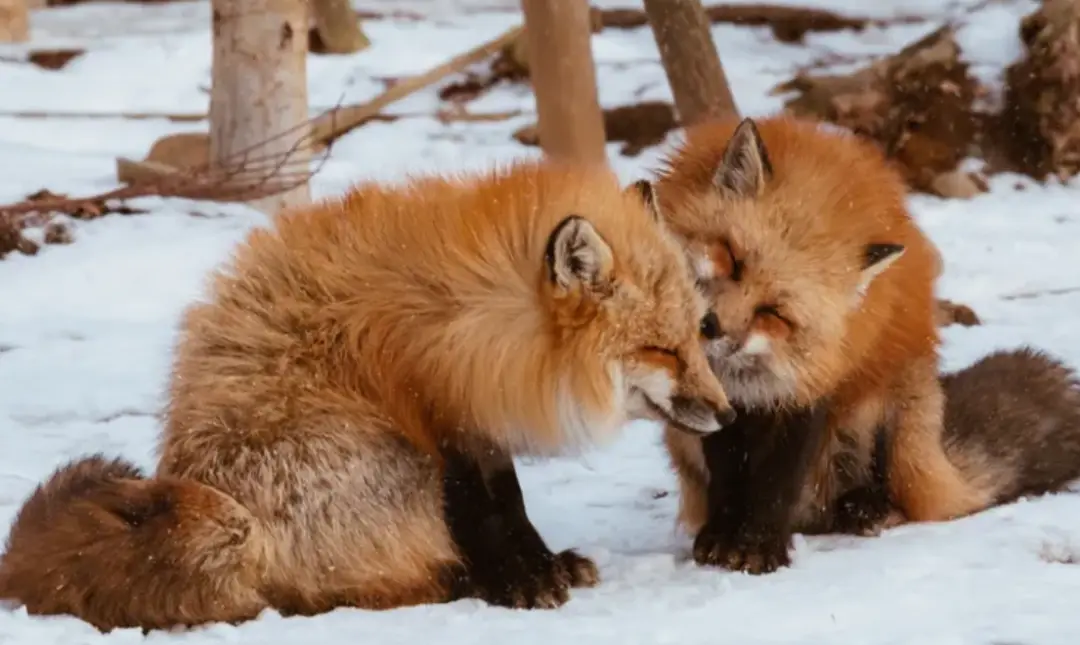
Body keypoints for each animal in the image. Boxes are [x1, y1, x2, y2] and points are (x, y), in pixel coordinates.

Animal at [0, 158, 734, 630]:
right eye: (661, 351)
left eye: (698, 333)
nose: (727, 414)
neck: (480, 321)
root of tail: (230, 514)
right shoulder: (435, 419)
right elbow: (486, 511)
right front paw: (521, 581)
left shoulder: (477, 419)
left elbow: (512, 504)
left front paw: (542, 563)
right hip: (390, 462)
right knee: (348, 589)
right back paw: (462, 582)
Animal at [652, 115, 1006, 574]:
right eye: (731, 257)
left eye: (774, 313)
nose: (709, 327)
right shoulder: (717, 398)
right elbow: (727, 476)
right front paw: (722, 537)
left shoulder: (811, 383)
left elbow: (777, 480)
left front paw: (759, 546)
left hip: (889, 415)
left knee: (890, 495)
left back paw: (866, 508)